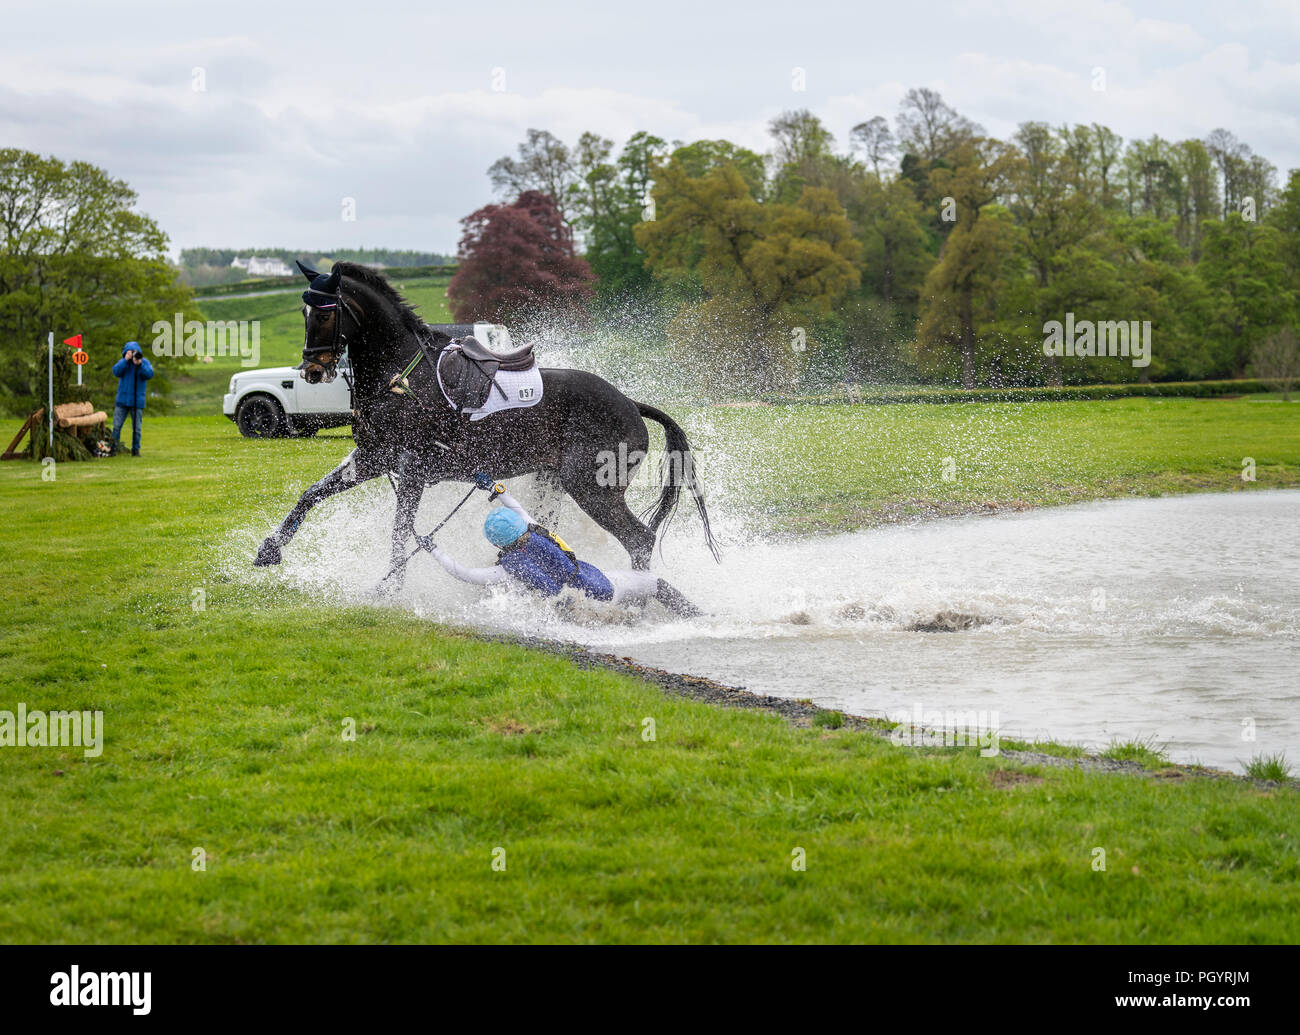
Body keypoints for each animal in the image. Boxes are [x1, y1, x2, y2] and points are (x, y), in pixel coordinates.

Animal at [253, 261, 718, 588]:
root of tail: (630, 403)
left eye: (324, 315)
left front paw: (392, 587)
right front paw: (270, 549)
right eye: (303, 312)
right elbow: (312, 494)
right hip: (555, 481)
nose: (311, 371)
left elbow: (399, 530)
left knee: (639, 539)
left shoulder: (412, 468)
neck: (400, 375)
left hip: (593, 487)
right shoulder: (373, 457)